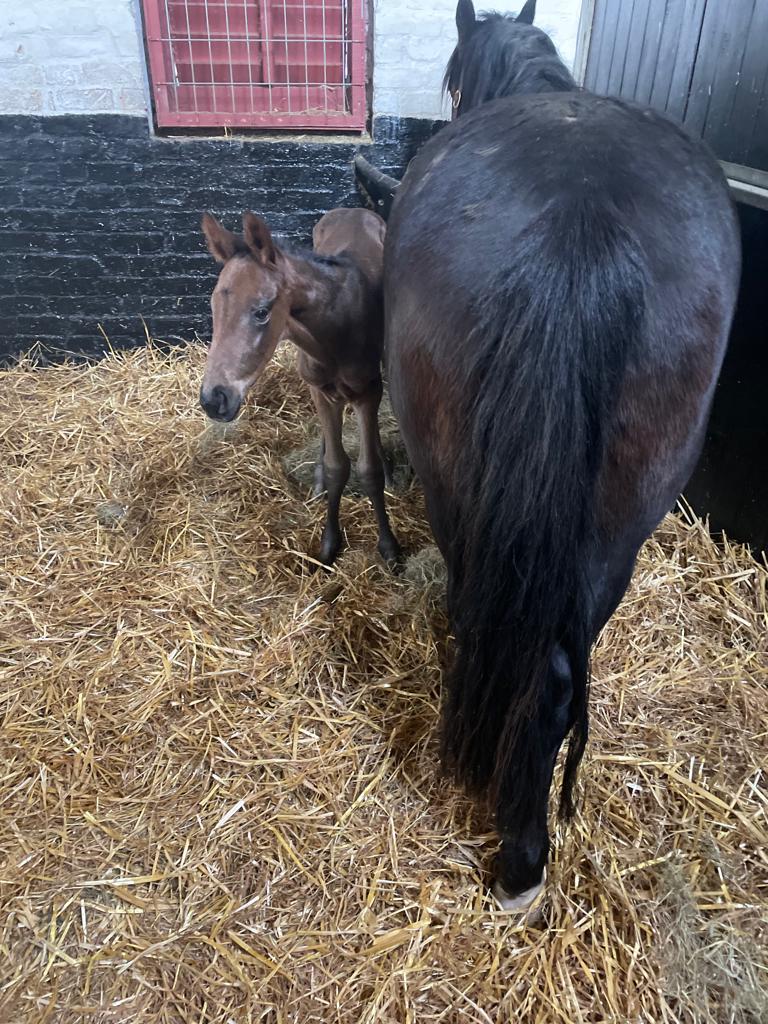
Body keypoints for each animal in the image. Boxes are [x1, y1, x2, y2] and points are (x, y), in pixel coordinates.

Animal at [200, 207, 401, 567]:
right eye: (214, 307)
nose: (214, 399)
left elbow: (369, 471)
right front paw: (329, 544)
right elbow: (337, 467)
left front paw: (388, 546)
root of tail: (352, 209)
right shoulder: (321, 391)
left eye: (261, 311)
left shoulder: (367, 392)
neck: (332, 332)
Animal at [384, 0, 740, 909]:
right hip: (616, 532)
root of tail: (580, 222)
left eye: (452, 78)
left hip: (460, 496)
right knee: (554, 681)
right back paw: (526, 855)